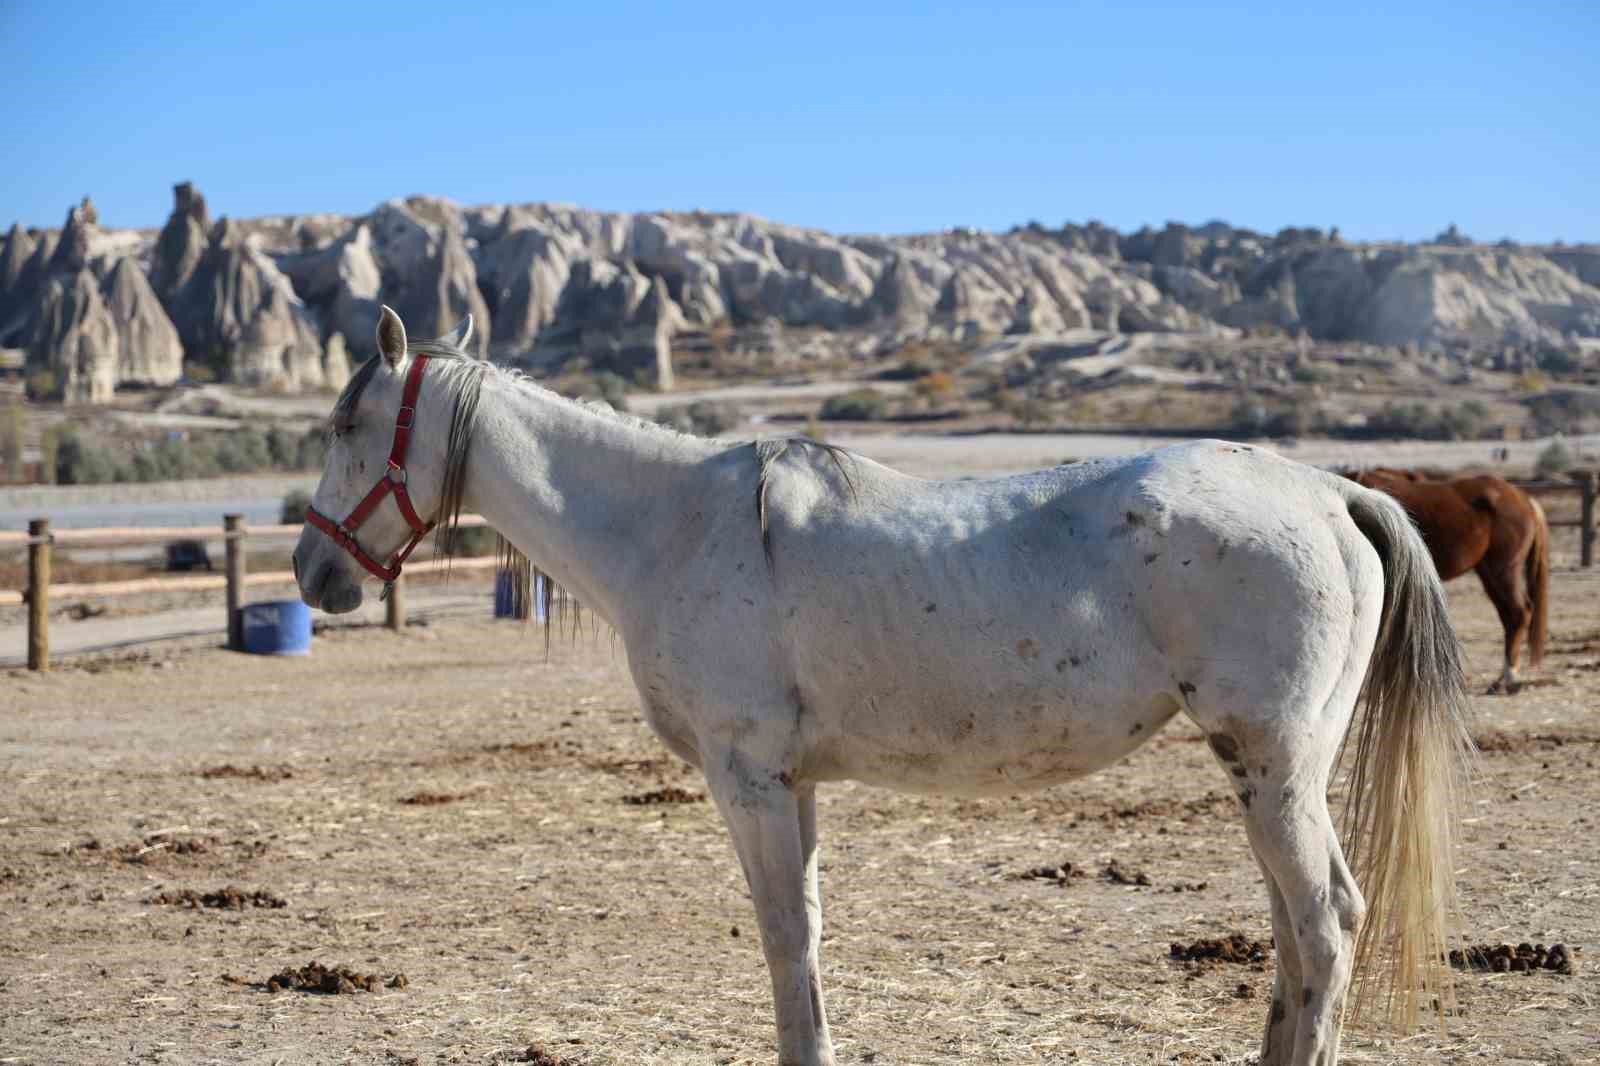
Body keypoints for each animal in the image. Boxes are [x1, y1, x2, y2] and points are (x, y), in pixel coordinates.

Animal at [294, 305, 1465, 1062]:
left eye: (349, 428)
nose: (313, 574)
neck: (671, 525)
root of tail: (1332, 492)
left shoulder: (750, 781)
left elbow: (782, 936)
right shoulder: (796, 785)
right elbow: (806, 935)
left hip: (1276, 768)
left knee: (1325, 925)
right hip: (1261, 775)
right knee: (1293, 935)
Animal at [1350, 464, 1548, 688]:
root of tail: (1524, 499)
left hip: (1504, 570)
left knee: (1519, 613)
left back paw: (1509, 678)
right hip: (1489, 574)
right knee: (1509, 617)